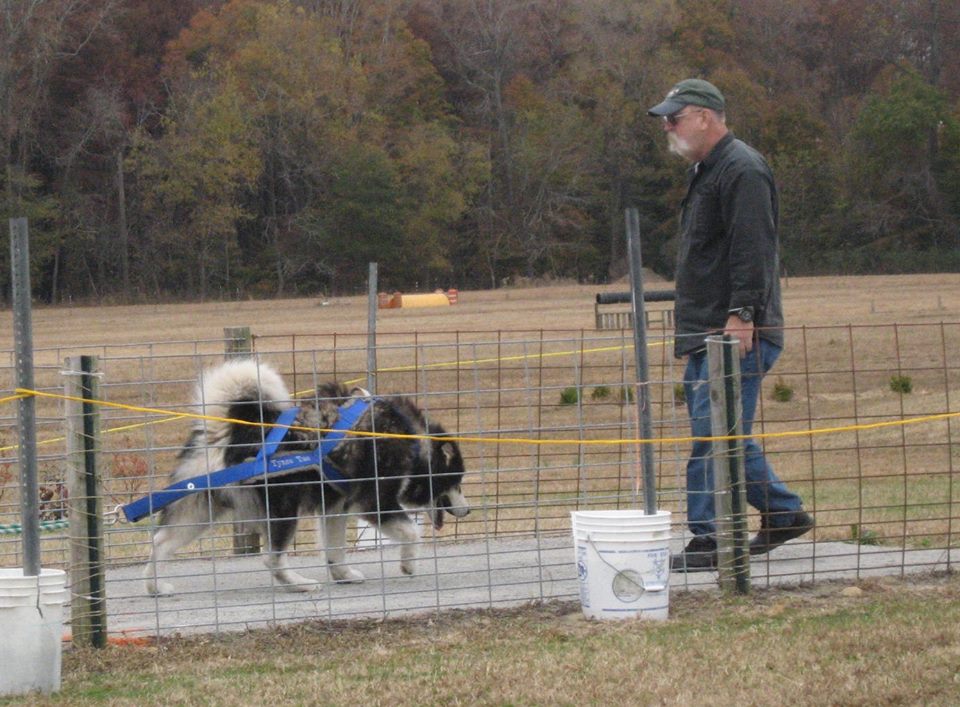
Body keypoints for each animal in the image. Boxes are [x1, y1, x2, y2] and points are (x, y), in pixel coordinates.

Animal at [142, 360, 468, 596]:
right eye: (456, 481)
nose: (468, 510)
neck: (411, 440)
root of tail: (234, 431)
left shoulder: (335, 508)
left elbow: (334, 550)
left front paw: (342, 574)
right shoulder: (375, 503)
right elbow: (412, 533)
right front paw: (408, 564)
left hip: (199, 508)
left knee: (160, 542)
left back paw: (155, 587)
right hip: (284, 510)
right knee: (272, 558)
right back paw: (299, 584)